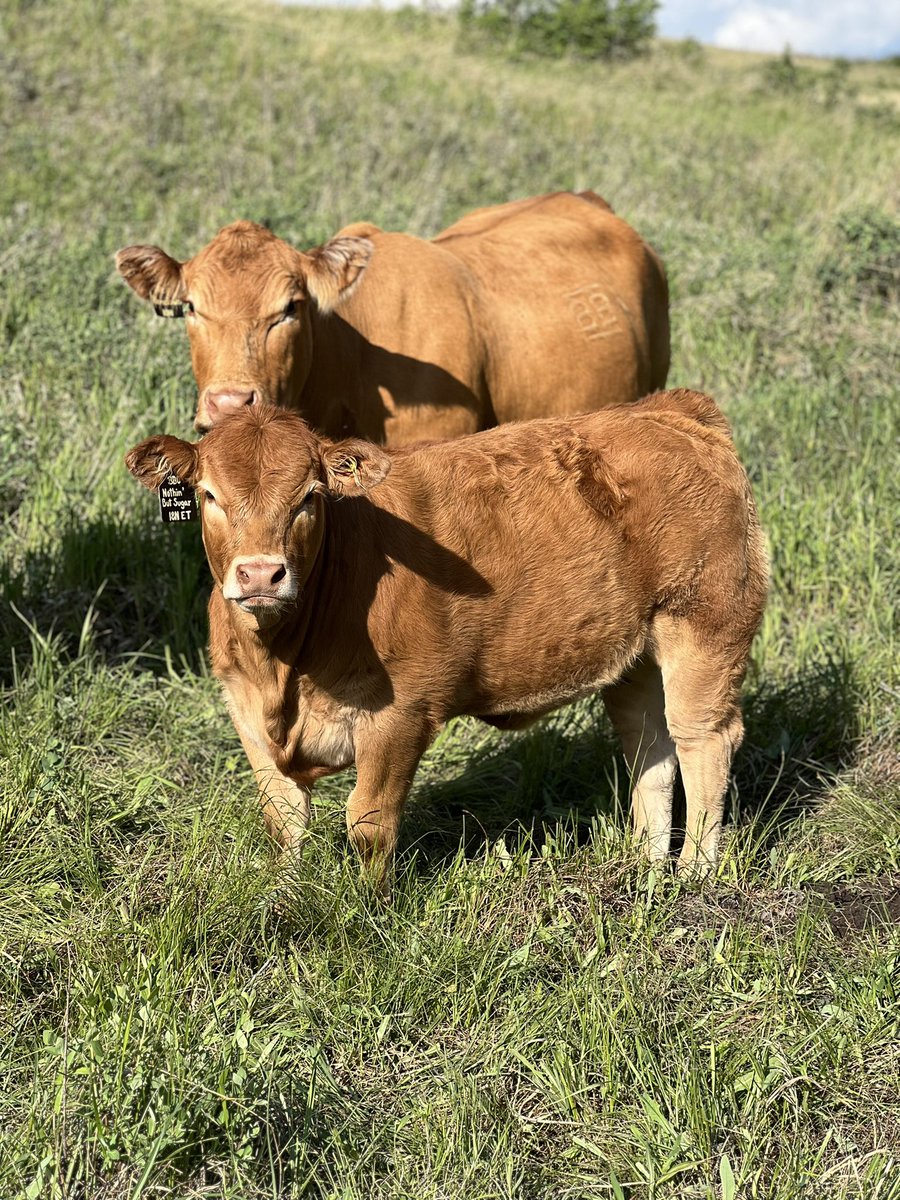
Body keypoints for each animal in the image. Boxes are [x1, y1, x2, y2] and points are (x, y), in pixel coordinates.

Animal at [125, 389, 767, 880]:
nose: (261, 573)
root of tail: (670, 409)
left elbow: (369, 820)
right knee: (649, 746)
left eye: (309, 496)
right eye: (209, 494)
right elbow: (283, 821)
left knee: (702, 739)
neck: (284, 666)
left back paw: (695, 876)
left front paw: (365, 911)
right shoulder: (245, 711)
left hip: (706, 626)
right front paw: (285, 894)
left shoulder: (401, 712)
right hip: (636, 655)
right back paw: (645, 867)